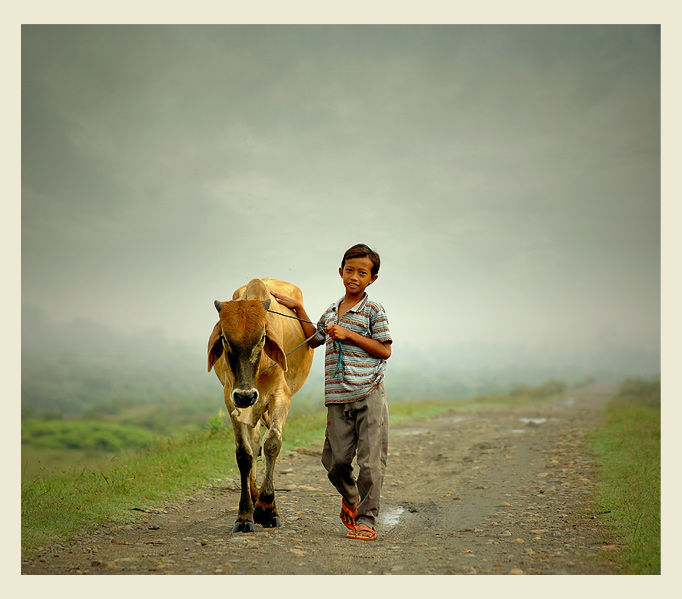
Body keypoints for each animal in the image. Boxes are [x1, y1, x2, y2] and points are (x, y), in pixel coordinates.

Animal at [207, 278, 314, 532]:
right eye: (225, 338)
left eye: (262, 338)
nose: (246, 396)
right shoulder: (231, 398)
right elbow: (244, 453)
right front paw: (245, 514)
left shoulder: (281, 396)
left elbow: (273, 444)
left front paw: (267, 509)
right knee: (254, 443)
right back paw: (254, 496)